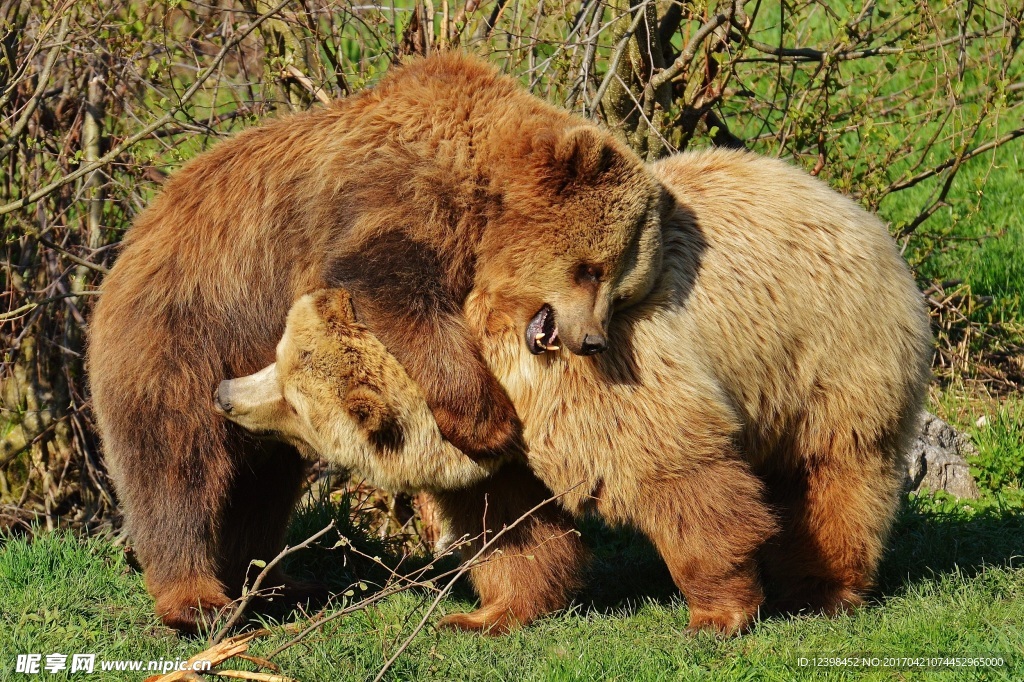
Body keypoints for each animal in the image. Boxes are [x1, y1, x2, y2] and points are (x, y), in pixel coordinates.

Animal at [86, 54, 663, 630]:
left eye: (619, 287)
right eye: (590, 269)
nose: (591, 339)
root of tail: (124, 248)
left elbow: (500, 501)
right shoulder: (392, 204)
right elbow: (393, 294)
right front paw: (491, 423)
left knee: (263, 485)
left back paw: (278, 583)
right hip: (185, 334)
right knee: (175, 469)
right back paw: (196, 599)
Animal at [220, 147, 933, 630]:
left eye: (290, 396)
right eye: (277, 358)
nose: (225, 393)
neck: (495, 382)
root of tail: (852, 208)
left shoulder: (598, 380)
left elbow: (680, 475)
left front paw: (718, 612)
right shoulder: (506, 445)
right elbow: (510, 528)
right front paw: (481, 615)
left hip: (830, 346)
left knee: (836, 470)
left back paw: (825, 588)